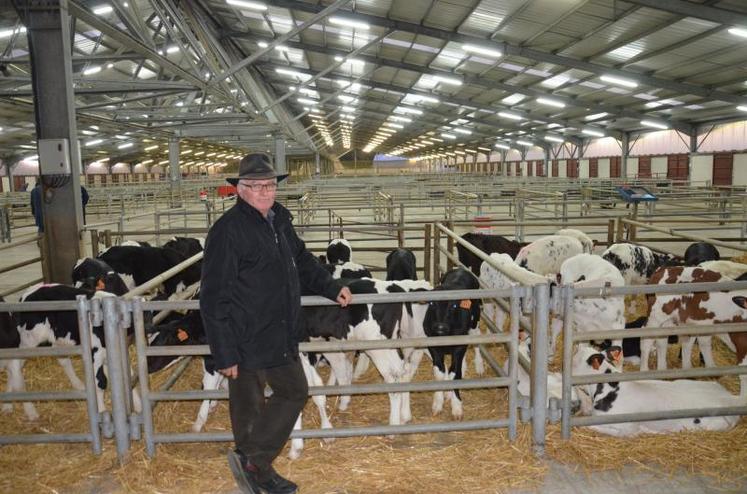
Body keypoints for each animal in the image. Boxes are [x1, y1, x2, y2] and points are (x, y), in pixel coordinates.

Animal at [424, 268, 482, 418]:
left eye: (454, 305)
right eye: (432, 304)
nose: (440, 327)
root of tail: (461, 269)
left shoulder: (459, 346)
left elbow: (455, 374)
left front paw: (456, 407)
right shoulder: (433, 346)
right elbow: (440, 373)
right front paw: (438, 403)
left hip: (475, 321)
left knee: (477, 338)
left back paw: (479, 365)